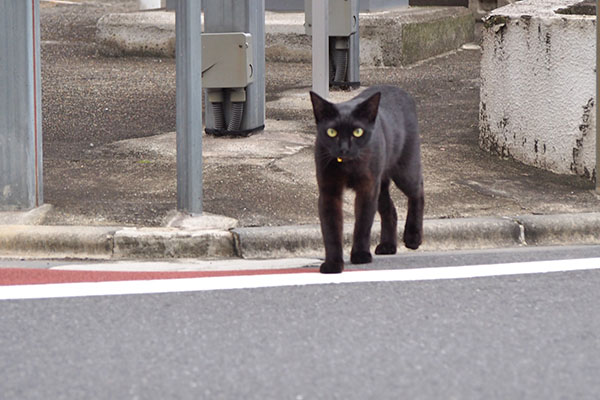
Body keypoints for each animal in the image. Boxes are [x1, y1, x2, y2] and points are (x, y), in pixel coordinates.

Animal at [312, 84, 424, 272]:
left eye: (357, 132)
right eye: (332, 132)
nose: (344, 148)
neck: (348, 165)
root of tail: (401, 90)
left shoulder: (367, 188)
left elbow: (363, 223)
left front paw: (360, 255)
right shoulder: (329, 191)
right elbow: (331, 229)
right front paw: (333, 264)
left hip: (404, 171)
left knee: (418, 192)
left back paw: (413, 237)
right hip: (381, 182)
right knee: (390, 210)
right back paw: (388, 245)